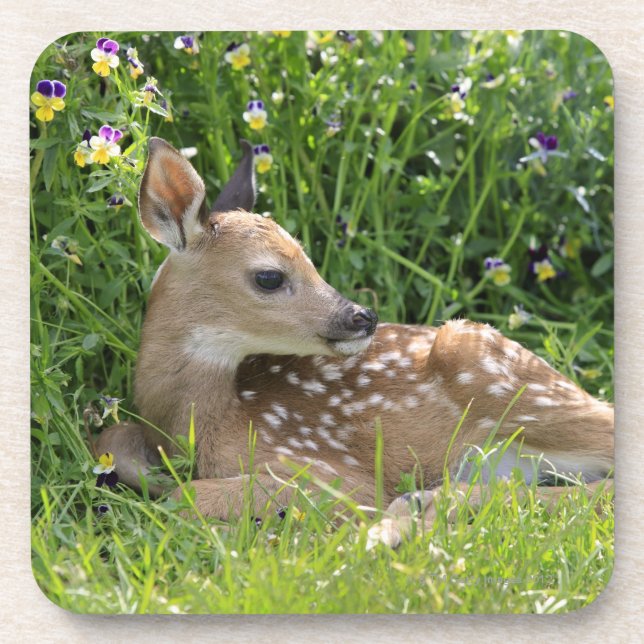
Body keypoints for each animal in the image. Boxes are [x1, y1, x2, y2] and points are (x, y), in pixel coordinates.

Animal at [95, 137, 614, 547]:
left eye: (309, 259)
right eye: (269, 276)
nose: (363, 316)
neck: (203, 424)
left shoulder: (334, 473)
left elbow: (185, 497)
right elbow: (115, 439)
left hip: (502, 376)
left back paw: (406, 517)